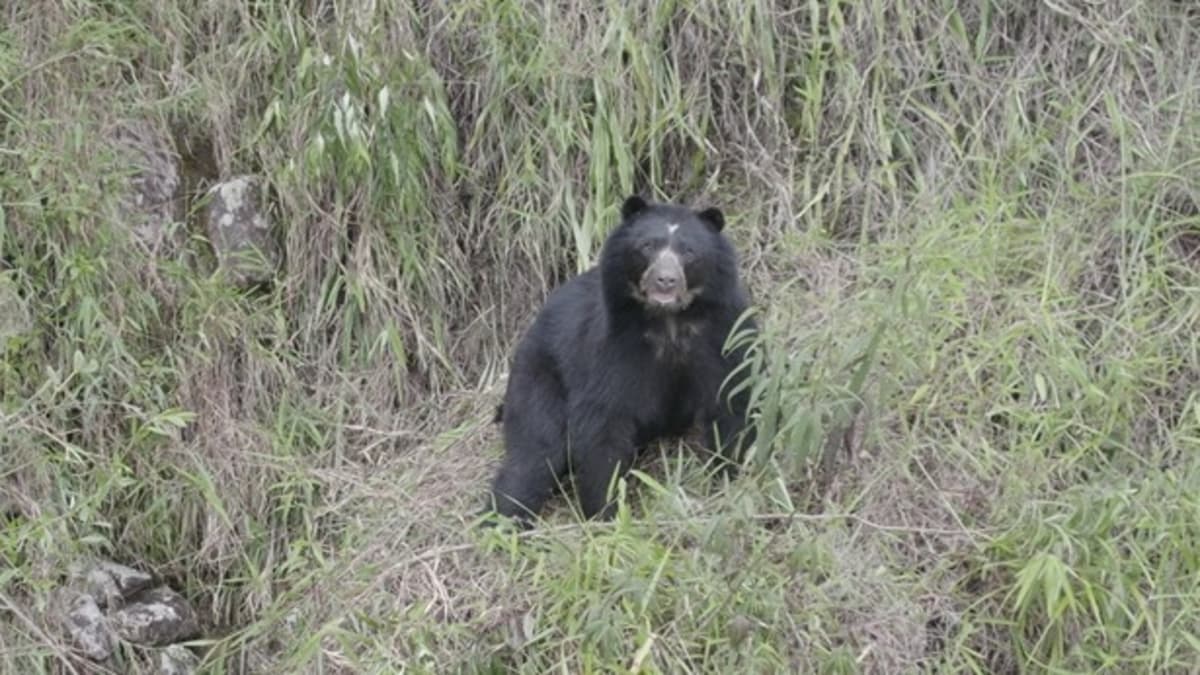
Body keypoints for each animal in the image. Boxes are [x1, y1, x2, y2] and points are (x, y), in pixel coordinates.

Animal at [484, 195, 757, 526]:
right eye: (647, 246)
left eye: (689, 252)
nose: (665, 281)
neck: (669, 322)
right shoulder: (611, 347)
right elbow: (603, 424)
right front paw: (606, 511)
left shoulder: (724, 335)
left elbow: (731, 401)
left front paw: (727, 478)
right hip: (539, 377)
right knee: (534, 454)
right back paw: (501, 520)